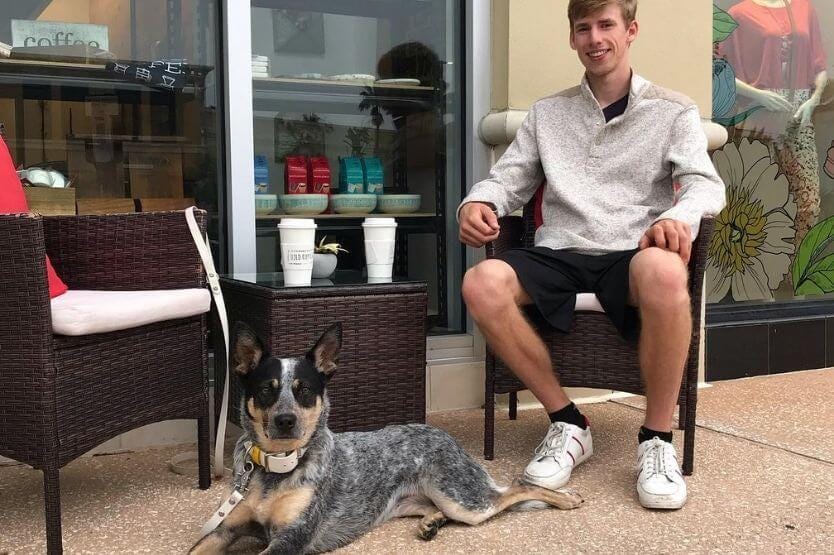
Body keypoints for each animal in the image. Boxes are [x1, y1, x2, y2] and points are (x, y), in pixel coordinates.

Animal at [190, 324, 580, 552]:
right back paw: (431, 523)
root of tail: (443, 434)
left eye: (305, 391)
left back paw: (567, 499)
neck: (274, 468)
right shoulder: (223, 530)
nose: (285, 421)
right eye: (266, 390)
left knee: (515, 488)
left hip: (463, 500)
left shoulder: (291, 538)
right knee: (444, 507)